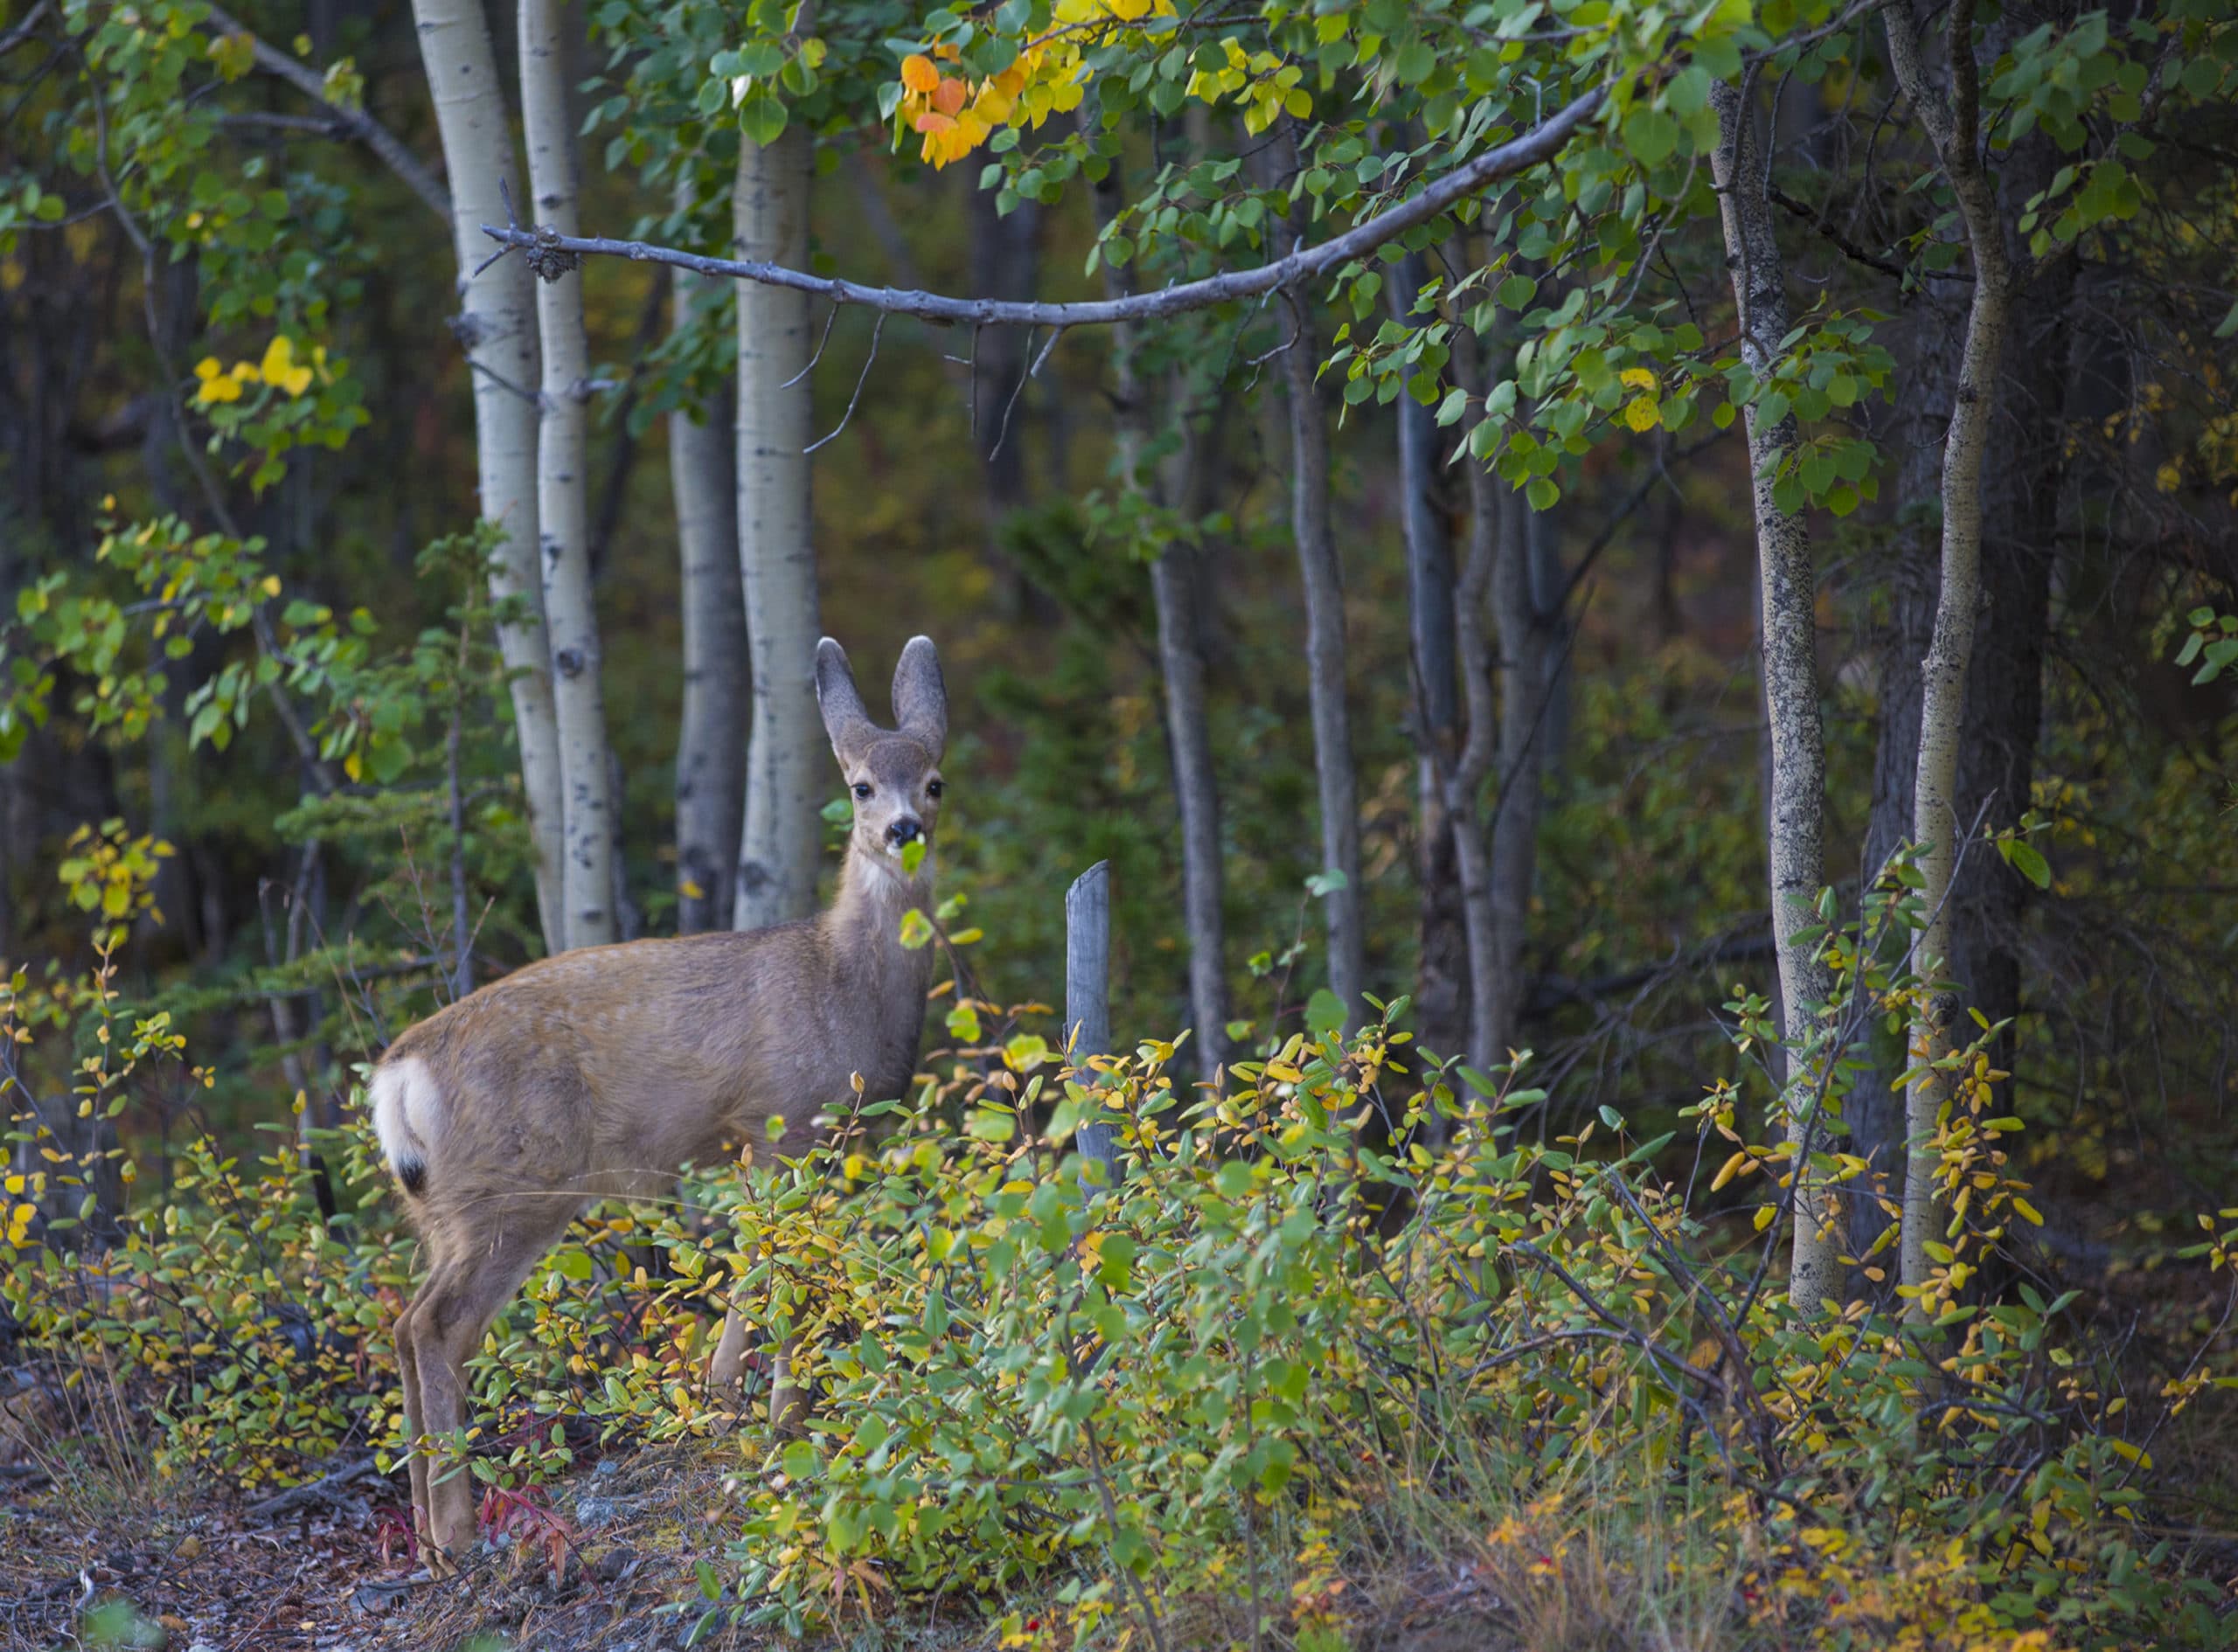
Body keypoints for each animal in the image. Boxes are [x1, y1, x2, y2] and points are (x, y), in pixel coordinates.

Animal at [370, 635, 947, 1572]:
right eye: (862, 784)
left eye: (935, 780)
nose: (905, 829)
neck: (842, 991)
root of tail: (397, 1076)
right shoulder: (781, 1122)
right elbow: (774, 1272)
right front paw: (767, 1408)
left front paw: (732, 1394)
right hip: (512, 1183)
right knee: (437, 1325)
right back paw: (455, 1530)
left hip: (440, 1205)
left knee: (401, 1320)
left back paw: (423, 1531)